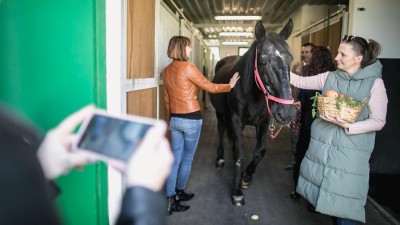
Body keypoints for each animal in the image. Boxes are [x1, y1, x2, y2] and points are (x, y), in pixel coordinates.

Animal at [209, 19, 296, 206]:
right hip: (221, 115)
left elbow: (260, 151)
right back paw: (220, 159)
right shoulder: (235, 119)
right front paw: (236, 191)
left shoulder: (263, 122)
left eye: (290, 59)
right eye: (263, 61)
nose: (287, 112)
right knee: (221, 131)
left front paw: (246, 176)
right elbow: (240, 153)